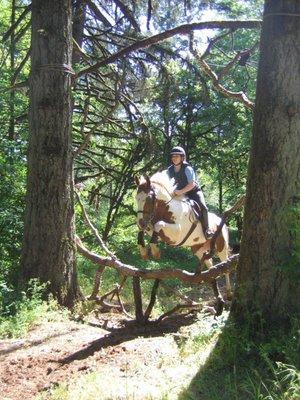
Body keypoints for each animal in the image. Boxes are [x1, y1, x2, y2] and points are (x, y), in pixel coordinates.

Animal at [134, 170, 232, 310]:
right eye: (136, 198)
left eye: (148, 198)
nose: (140, 222)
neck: (166, 209)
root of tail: (221, 221)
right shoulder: (150, 226)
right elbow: (144, 231)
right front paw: (143, 250)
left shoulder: (177, 234)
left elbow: (158, 225)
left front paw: (154, 250)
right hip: (198, 249)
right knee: (211, 265)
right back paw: (217, 295)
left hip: (221, 247)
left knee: (225, 266)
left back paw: (228, 293)